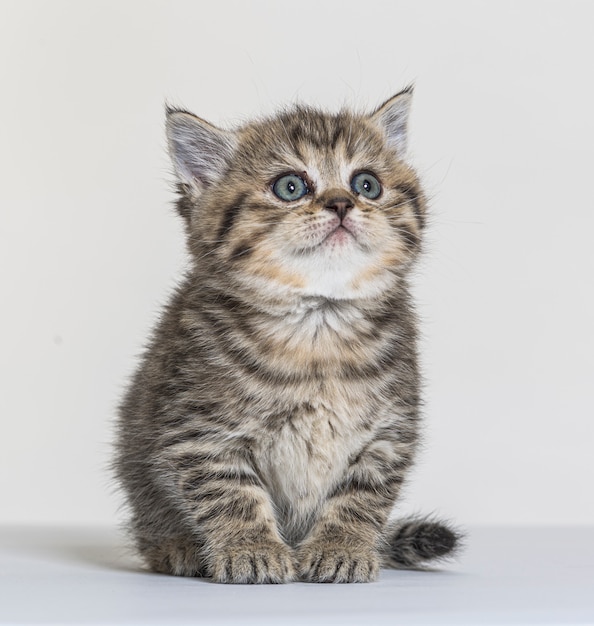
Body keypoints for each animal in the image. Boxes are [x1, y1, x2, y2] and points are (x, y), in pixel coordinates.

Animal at [114, 88, 458, 580]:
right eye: (290, 187)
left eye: (366, 184)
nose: (341, 203)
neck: (318, 328)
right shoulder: (200, 431)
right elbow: (231, 494)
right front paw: (250, 549)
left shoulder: (388, 434)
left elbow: (362, 497)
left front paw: (343, 547)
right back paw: (177, 548)